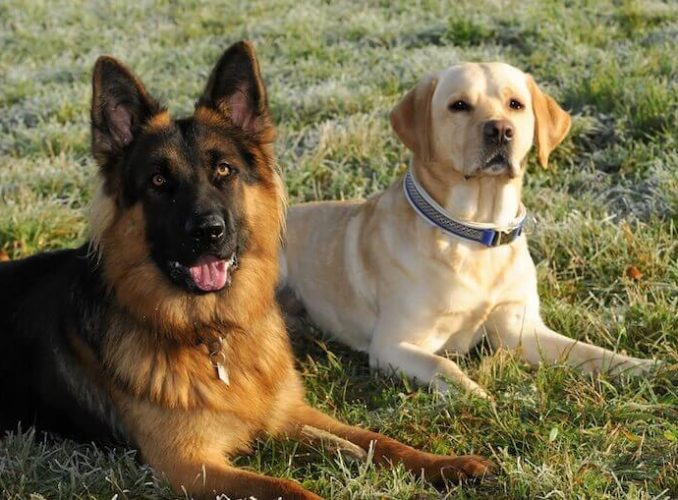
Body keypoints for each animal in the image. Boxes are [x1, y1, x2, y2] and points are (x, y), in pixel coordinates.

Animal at [0, 41, 494, 498]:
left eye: (224, 170)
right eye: (158, 181)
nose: (209, 232)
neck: (210, 334)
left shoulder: (291, 412)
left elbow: (379, 441)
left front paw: (447, 464)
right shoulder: (189, 465)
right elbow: (290, 488)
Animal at [278, 62, 656, 398]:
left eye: (515, 104)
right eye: (459, 105)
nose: (501, 130)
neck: (477, 234)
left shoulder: (520, 331)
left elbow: (590, 351)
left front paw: (646, 367)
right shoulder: (392, 344)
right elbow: (444, 365)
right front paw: (481, 398)